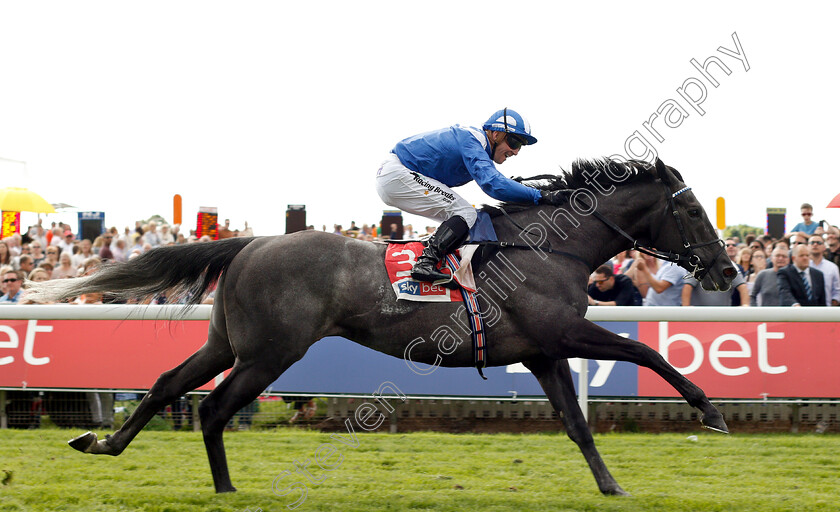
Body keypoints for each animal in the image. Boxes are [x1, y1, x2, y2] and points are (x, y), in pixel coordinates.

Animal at [27, 157, 736, 496]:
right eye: (692, 210)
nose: (728, 270)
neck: (549, 245)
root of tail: (254, 242)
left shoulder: (543, 351)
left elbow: (579, 424)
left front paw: (612, 486)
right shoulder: (563, 335)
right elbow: (647, 356)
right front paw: (709, 411)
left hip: (230, 343)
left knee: (169, 384)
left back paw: (103, 443)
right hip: (269, 354)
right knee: (212, 407)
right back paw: (225, 487)